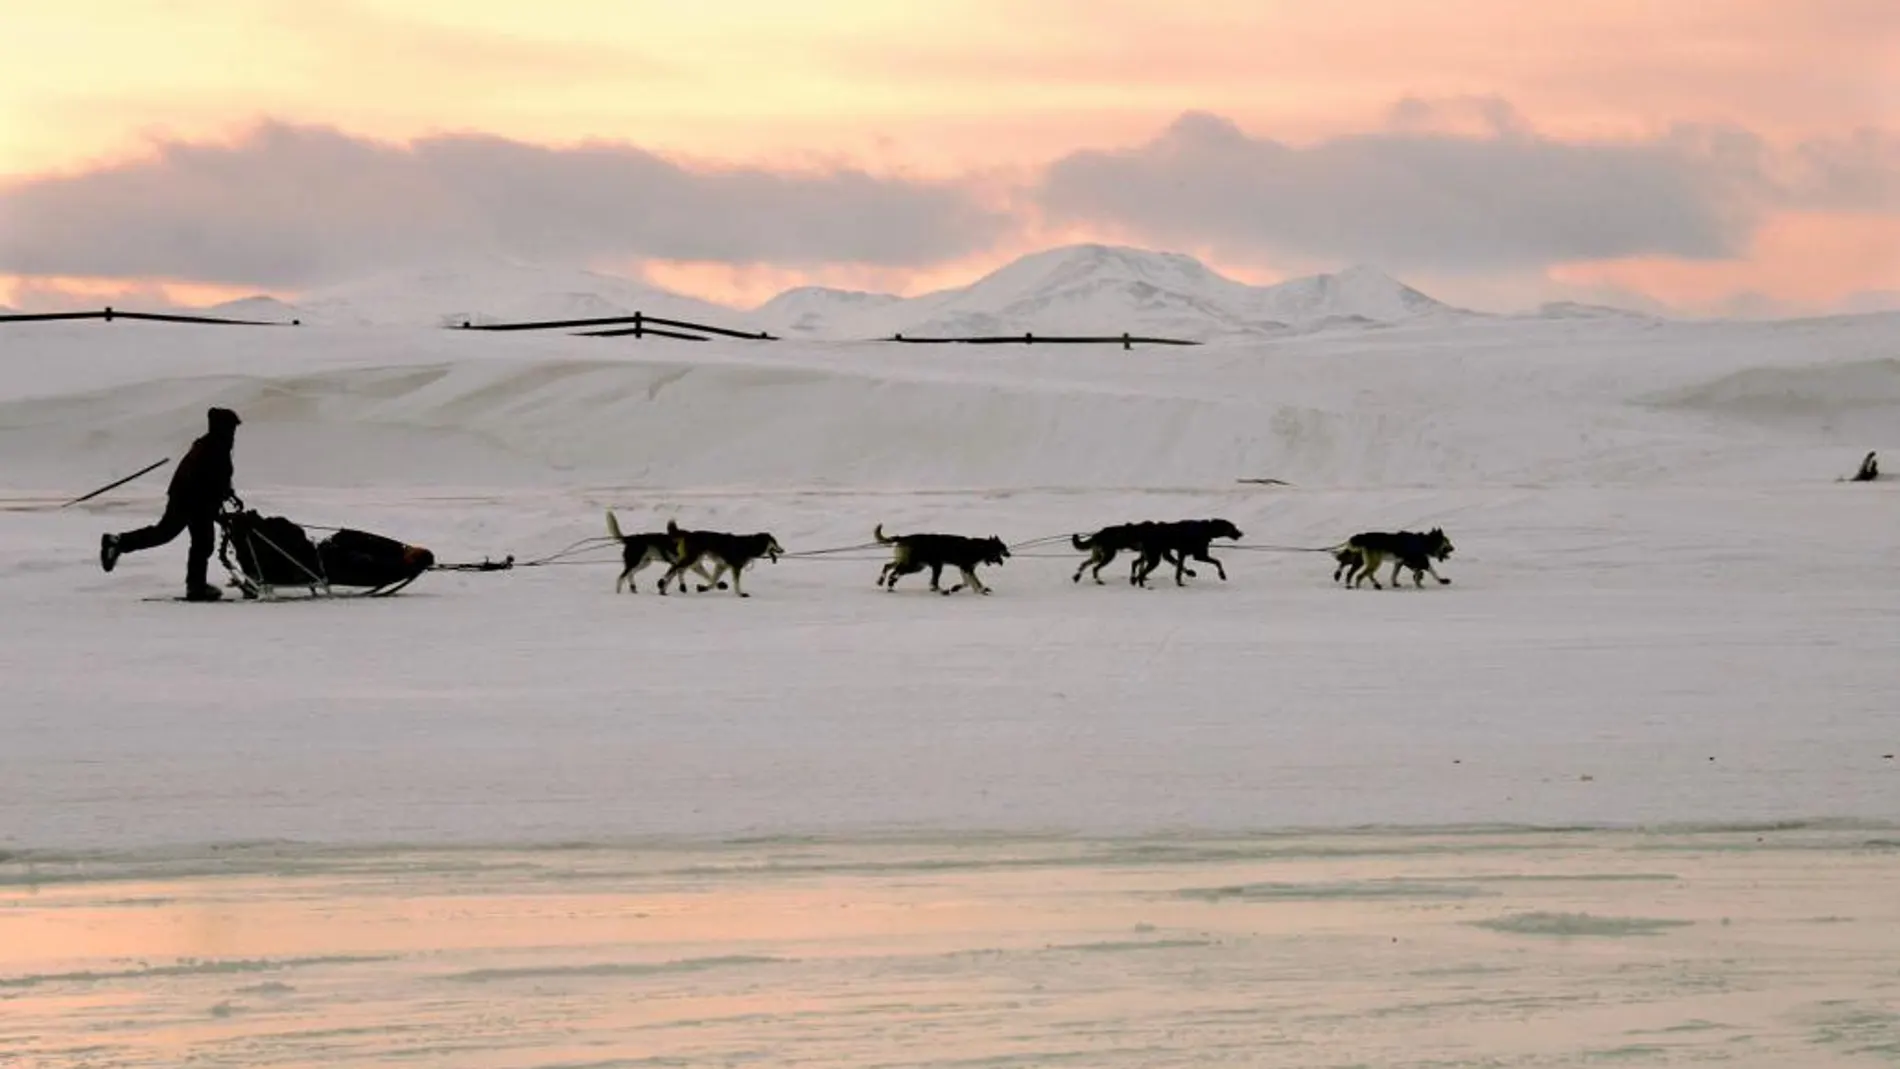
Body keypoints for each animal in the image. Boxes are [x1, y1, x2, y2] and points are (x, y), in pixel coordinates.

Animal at [874, 524, 1010, 592]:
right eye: (1003, 548)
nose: (1009, 554)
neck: (980, 547)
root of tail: (903, 537)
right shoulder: (966, 568)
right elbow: (975, 581)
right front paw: (981, 591)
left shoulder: (964, 568)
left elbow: (967, 582)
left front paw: (957, 588)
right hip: (918, 565)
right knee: (896, 572)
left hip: (917, 565)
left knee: (888, 566)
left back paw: (883, 581)